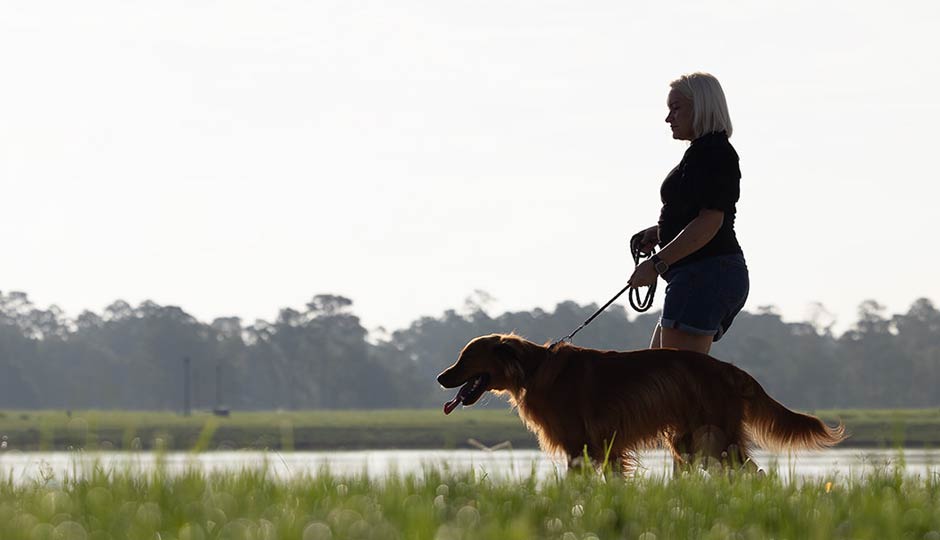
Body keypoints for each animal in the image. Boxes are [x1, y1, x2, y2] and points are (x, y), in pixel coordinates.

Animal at [438, 334, 844, 472]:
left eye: (465, 358)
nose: (440, 377)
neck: (534, 369)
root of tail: (730, 369)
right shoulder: (604, 448)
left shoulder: (580, 447)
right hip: (690, 440)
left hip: (714, 439)